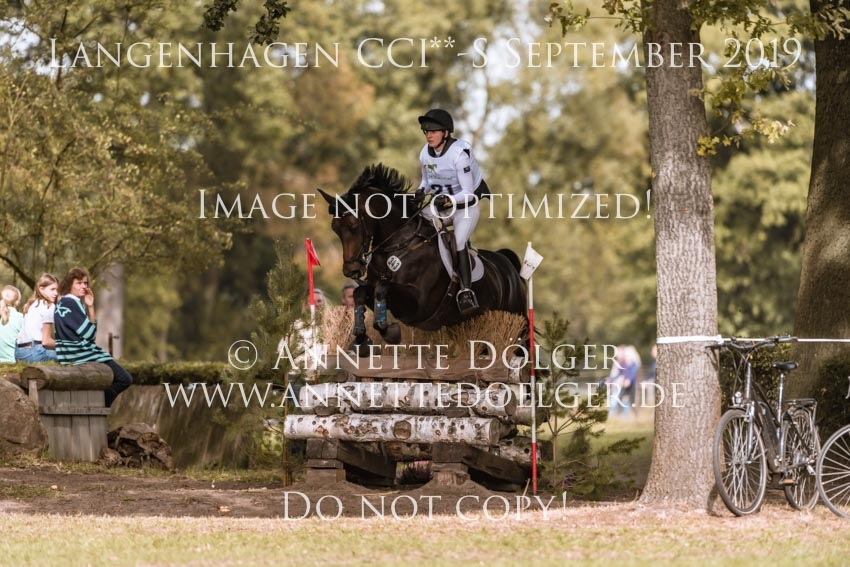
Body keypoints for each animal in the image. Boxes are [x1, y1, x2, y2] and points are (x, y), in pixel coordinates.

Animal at [318, 163, 527, 353]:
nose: (351, 270)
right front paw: (363, 337)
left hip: (517, 321)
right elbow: (360, 292)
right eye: (335, 228)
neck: (399, 245)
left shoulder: (418, 304)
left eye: (354, 225)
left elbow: (382, 288)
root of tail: (506, 263)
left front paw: (390, 333)